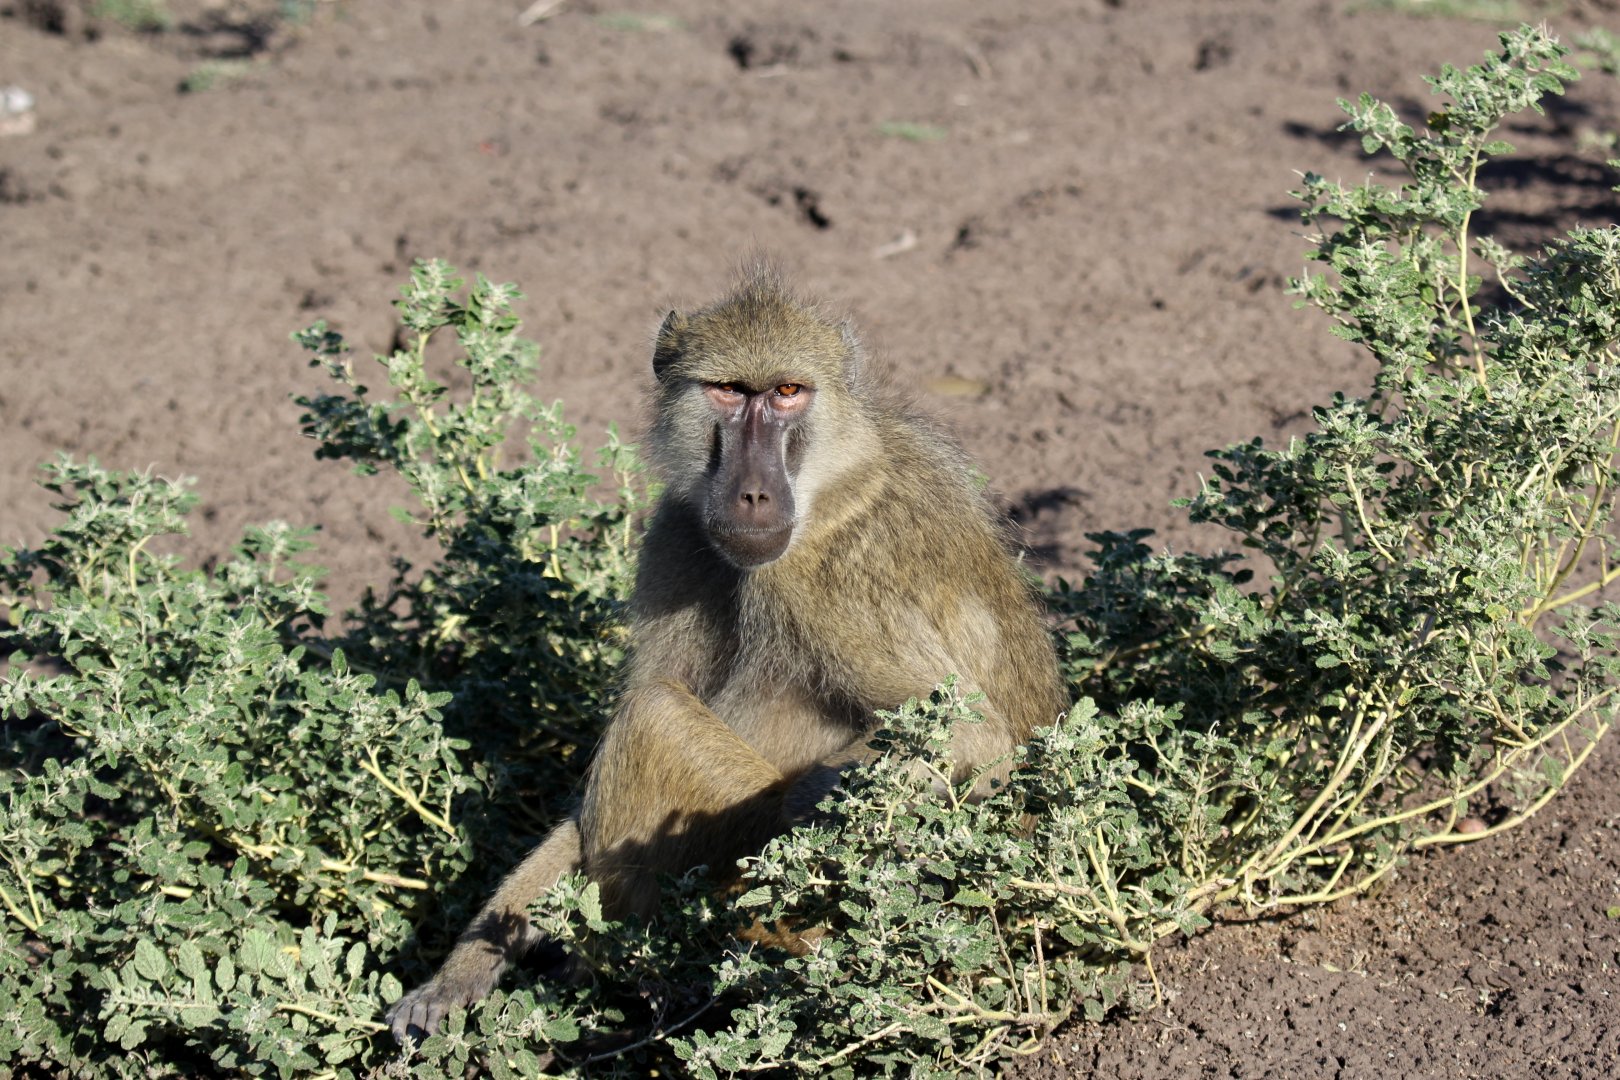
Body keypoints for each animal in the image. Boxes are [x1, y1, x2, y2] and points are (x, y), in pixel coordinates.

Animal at [386, 267, 1067, 1044]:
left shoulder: (822, 580)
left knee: (654, 719)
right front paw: (462, 970)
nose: (753, 494)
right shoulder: (678, 532)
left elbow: (972, 740)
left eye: (788, 393)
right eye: (729, 391)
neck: (835, 478)